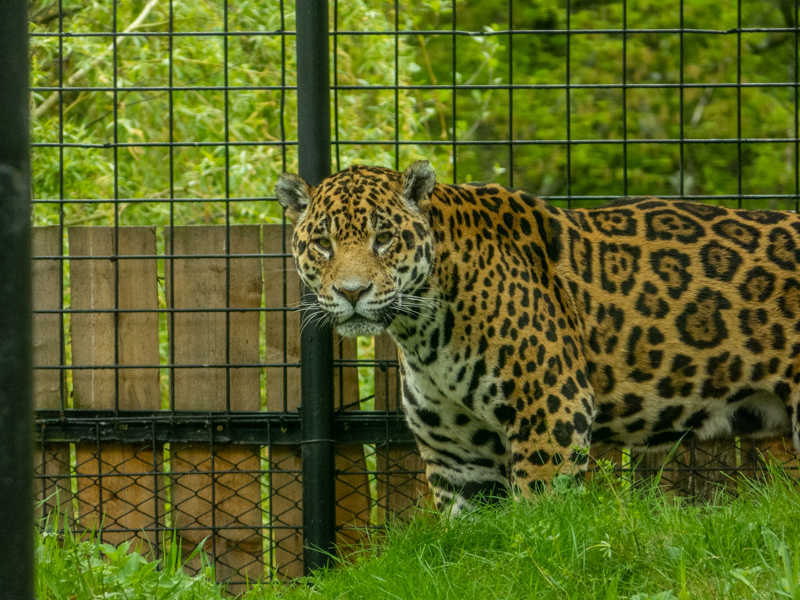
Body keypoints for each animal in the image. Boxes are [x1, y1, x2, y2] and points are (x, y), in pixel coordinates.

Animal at [276, 160, 800, 514]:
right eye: (322, 244)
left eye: (383, 238)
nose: (351, 292)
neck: (424, 331)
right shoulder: (456, 457)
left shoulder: (552, 411)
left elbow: (540, 522)